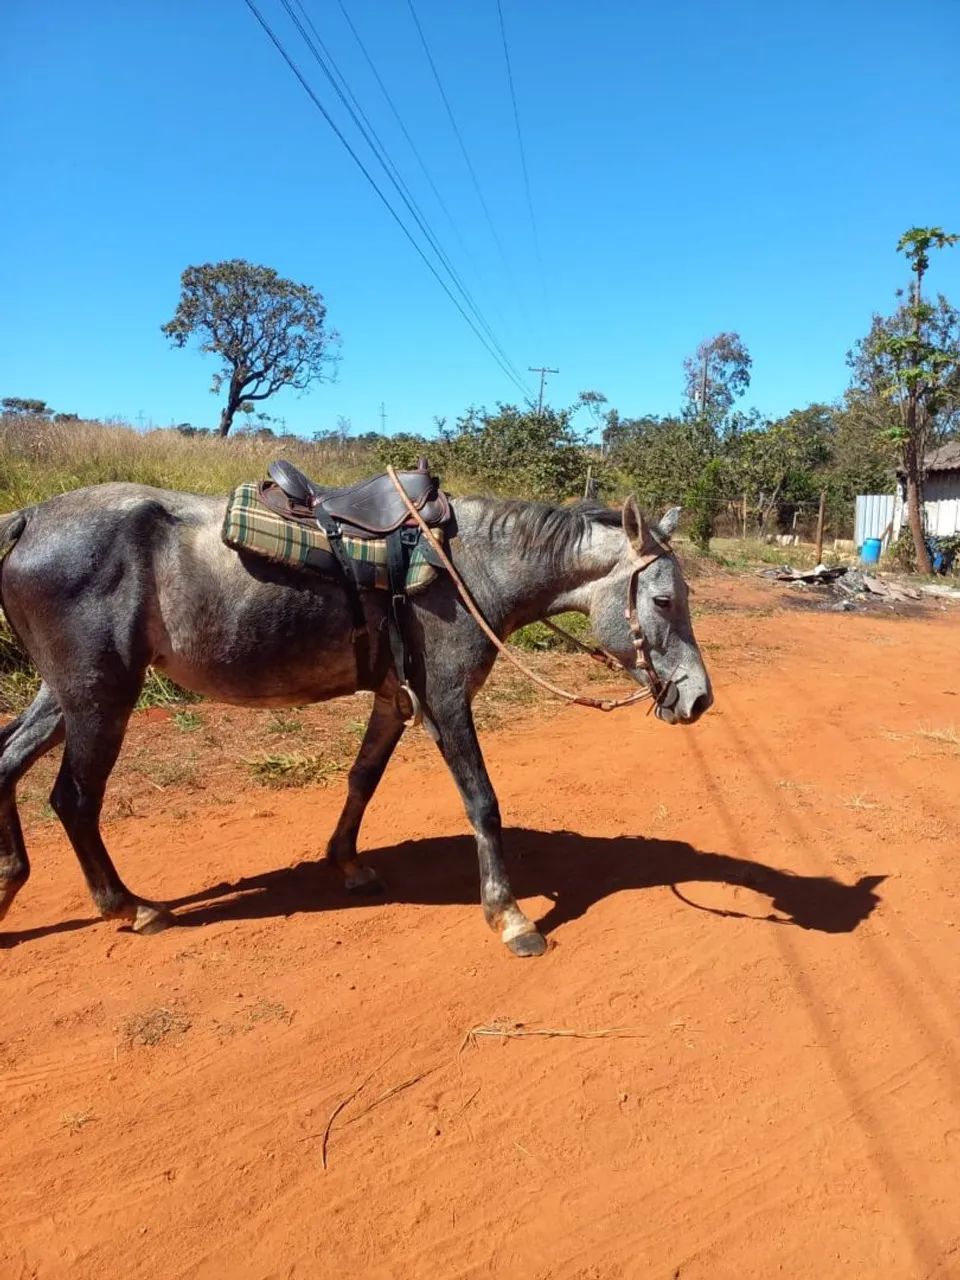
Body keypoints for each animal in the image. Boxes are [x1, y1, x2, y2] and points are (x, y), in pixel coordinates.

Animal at [0, 481, 712, 957]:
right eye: (664, 599)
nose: (700, 699)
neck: (469, 567)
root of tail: (27, 519)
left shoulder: (393, 699)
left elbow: (361, 780)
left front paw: (346, 864)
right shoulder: (445, 698)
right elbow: (482, 803)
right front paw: (510, 916)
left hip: (64, 696)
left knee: (7, 764)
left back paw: (12, 884)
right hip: (101, 699)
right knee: (73, 801)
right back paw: (129, 907)